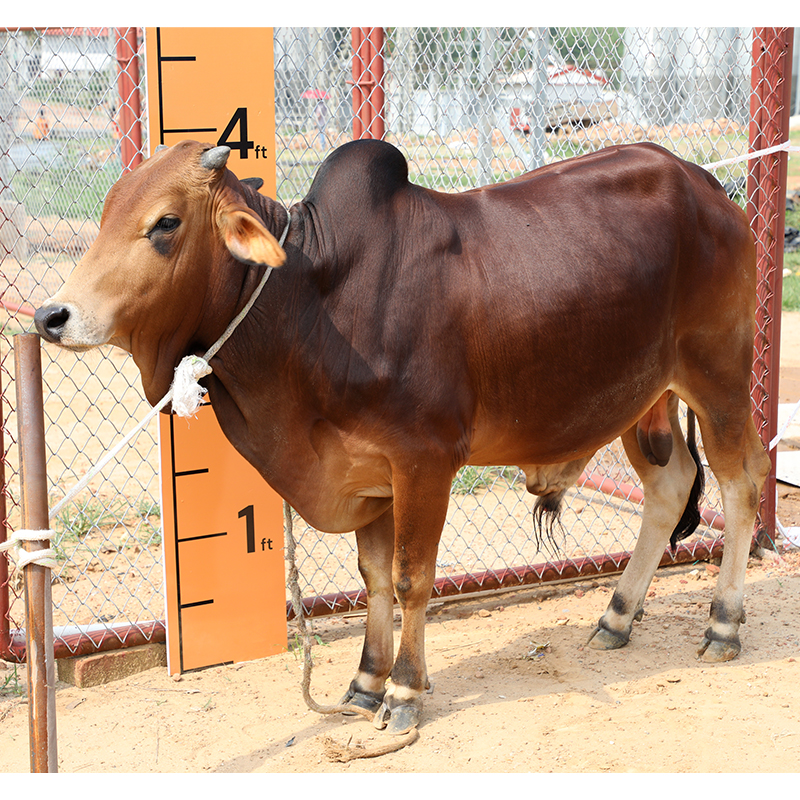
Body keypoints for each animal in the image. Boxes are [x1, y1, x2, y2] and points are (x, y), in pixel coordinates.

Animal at [34, 138, 770, 735]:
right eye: (106, 212)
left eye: (166, 222)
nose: (51, 316)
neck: (311, 299)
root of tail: (708, 184)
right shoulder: (369, 471)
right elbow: (374, 580)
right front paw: (365, 682)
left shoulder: (424, 460)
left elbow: (413, 578)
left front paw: (406, 692)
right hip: (645, 400)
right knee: (671, 486)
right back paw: (616, 615)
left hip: (718, 377)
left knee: (743, 482)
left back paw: (723, 622)